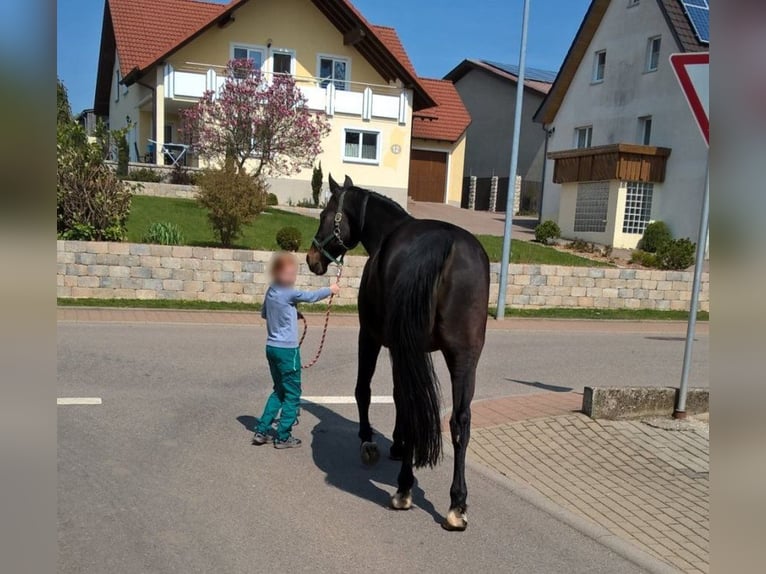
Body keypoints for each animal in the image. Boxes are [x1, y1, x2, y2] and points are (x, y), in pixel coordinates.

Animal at [308, 176, 492, 532]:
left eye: (324, 213)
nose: (312, 259)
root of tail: (447, 245)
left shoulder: (373, 337)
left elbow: (365, 390)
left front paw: (370, 442)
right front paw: (396, 443)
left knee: (411, 406)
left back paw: (404, 489)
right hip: (465, 357)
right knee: (460, 420)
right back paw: (457, 505)